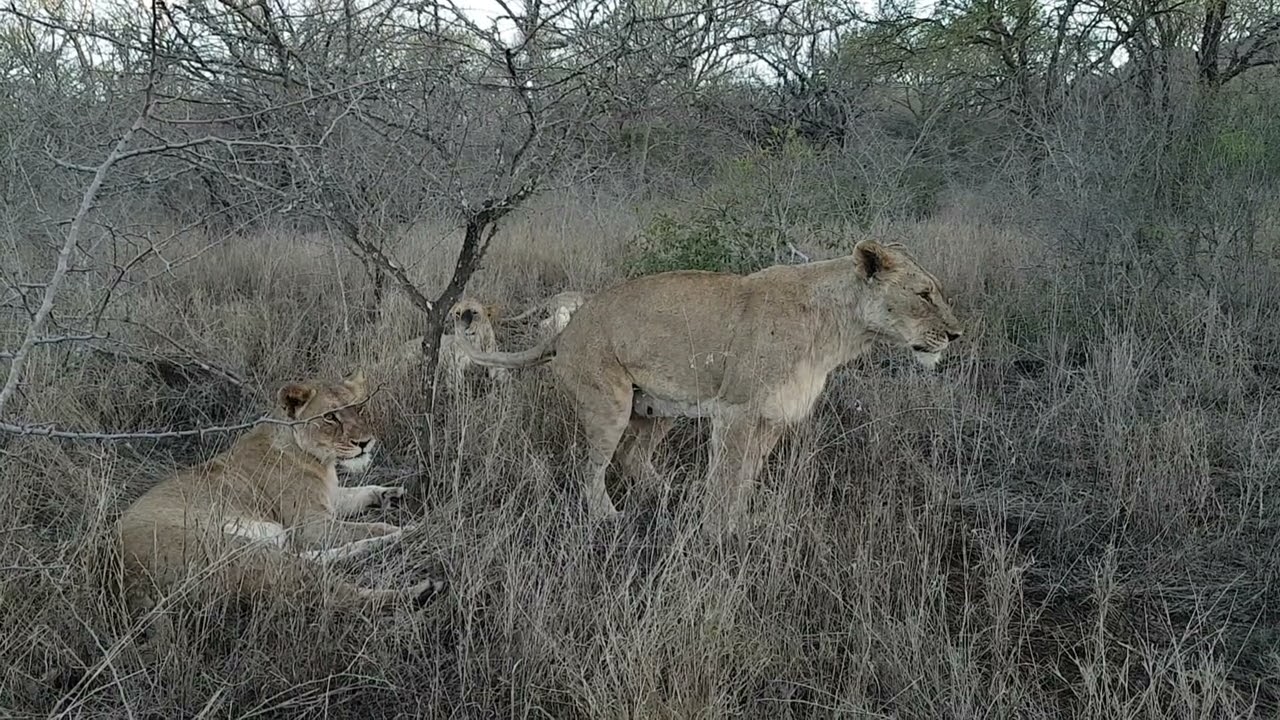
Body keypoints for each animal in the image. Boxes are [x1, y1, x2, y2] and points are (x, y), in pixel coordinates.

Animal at [115, 369, 443, 631]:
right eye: (330, 416)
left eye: (358, 408)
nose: (366, 443)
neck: (321, 461)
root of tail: (123, 577)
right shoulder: (311, 526)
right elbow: (371, 526)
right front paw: (402, 527)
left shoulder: (330, 499)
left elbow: (362, 492)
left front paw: (392, 494)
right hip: (239, 554)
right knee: (334, 592)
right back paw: (419, 584)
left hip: (268, 549)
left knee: (313, 560)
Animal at [453, 240, 963, 535]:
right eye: (924, 294)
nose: (957, 334)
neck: (842, 330)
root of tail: (568, 326)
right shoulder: (737, 411)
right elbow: (726, 478)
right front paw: (719, 533)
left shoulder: (772, 416)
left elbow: (745, 478)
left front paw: (739, 522)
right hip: (608, 403)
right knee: (590, 468)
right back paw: (609, 517)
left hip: (659, 407)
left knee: (632, 455)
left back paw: (669, 493)